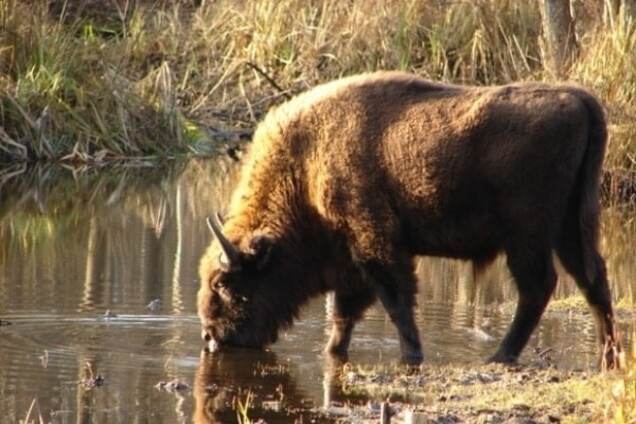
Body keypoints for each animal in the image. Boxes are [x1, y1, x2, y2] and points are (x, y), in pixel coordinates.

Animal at [198, 71, 620, 366]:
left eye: (223, 283)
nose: (210, 337)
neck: (305, 166)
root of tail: (577, 98)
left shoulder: (375, 243)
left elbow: (395, 299)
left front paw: (411, 354)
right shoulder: (350, 259)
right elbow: (346, 312)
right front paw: (333, 352)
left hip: (527, 236)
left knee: (538, 287)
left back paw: (501, 355)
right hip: (572, 227)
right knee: (593, 280)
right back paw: (608, 355)